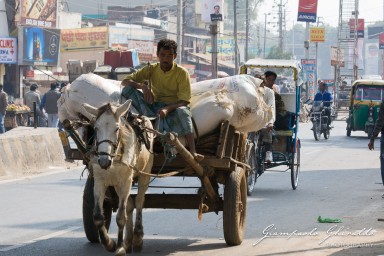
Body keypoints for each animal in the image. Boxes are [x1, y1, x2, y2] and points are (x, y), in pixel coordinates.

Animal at [82, 99, 154, 254]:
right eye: (95, 128)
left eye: (116, 128)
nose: (104, 161)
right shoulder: (99, 182)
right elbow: (98, 217)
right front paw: (109, 243)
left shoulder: (126, 181)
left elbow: (121, 216)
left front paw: (120, 247)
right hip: (115, 184)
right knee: (130, 205)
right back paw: (129, 240)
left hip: (145, 173)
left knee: (139, 201)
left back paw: (137, 237)